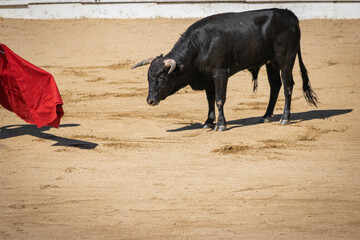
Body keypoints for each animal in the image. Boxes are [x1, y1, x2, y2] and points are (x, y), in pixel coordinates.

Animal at [132, 8, 318, 131]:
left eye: (161, 78)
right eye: (148, 78)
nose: (150, 100)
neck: (200, 46)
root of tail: (289, 14)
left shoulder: (220, 74)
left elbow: (220, 99)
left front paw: (221, 125)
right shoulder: (207, 78)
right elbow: (210, 99)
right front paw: (208, 122)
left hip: (286, 59)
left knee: (287, 86)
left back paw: (285, 118)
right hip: (271, 62)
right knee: (275, 86)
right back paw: (265, 116)